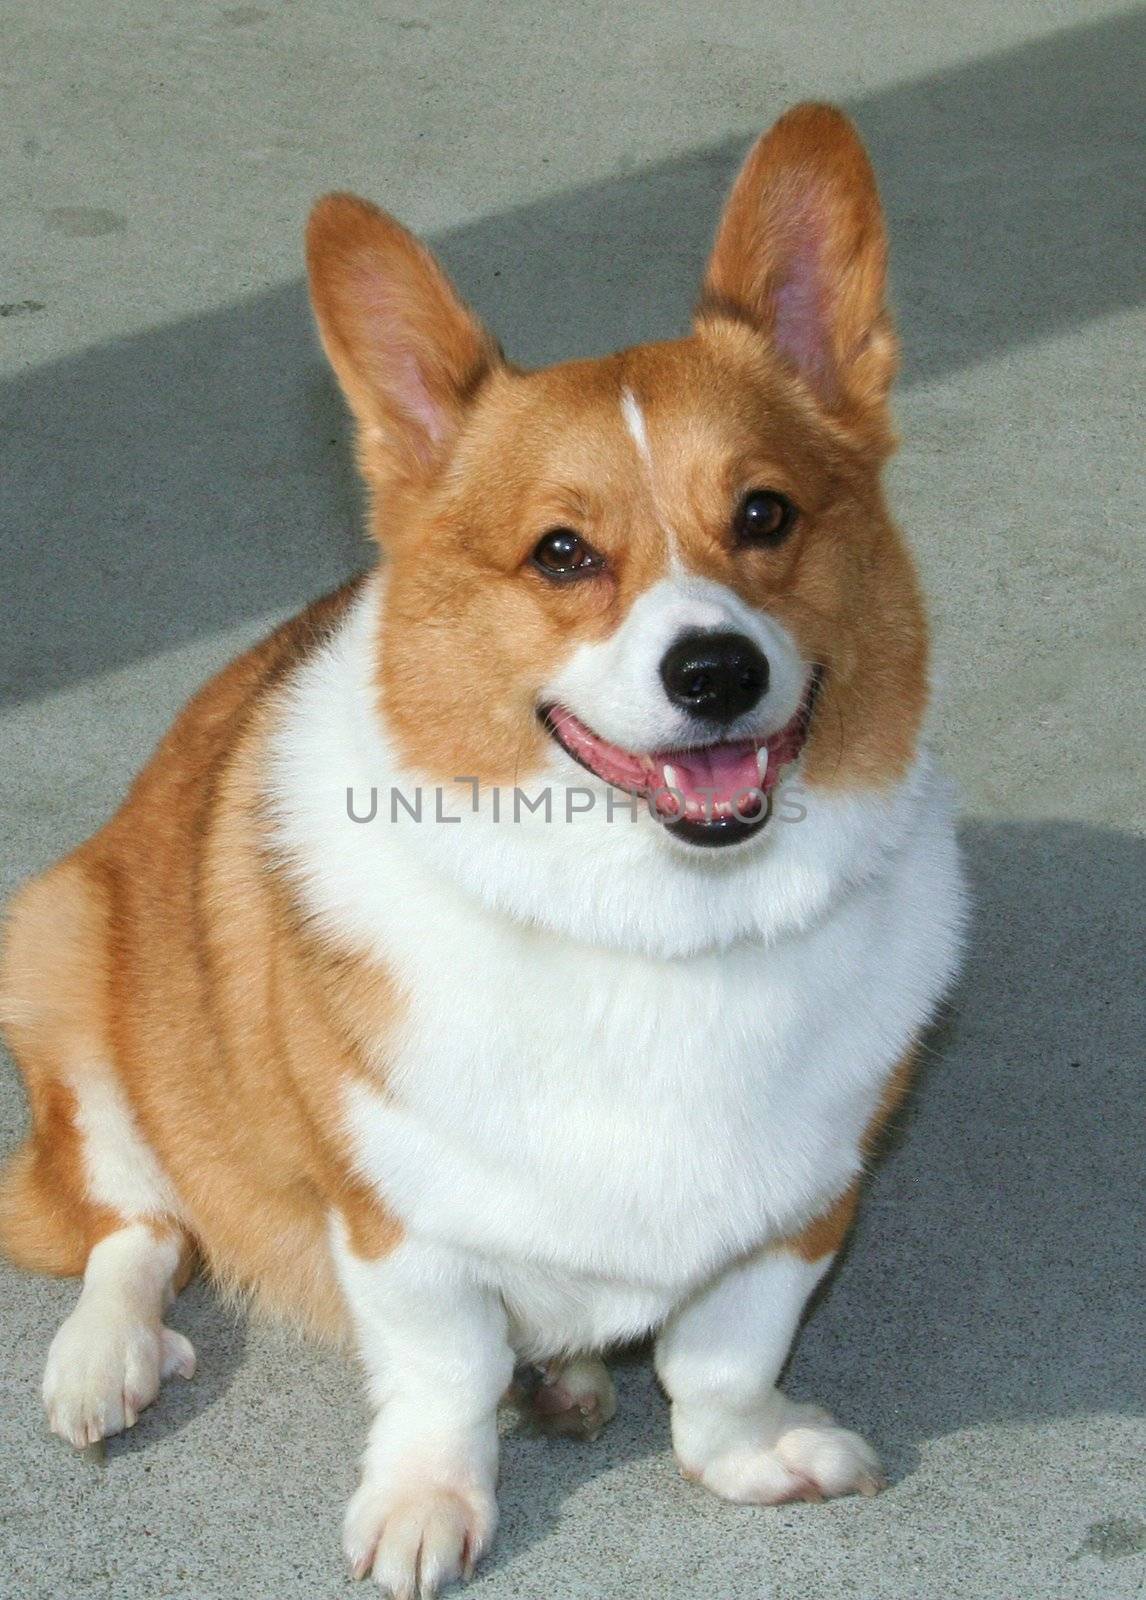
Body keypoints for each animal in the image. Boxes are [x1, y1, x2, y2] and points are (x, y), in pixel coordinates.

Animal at [0, 106, 966, 1593]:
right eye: (561, 553)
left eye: (765, 515)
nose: (716, 671)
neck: (654, 924)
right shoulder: (401, 1225)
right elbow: (443, 1372)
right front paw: (425, 1503)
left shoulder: (802, 1206)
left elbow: (722, 1358)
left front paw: (747, 1452)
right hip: (62, 969)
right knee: (134, 1224)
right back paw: (105, 1361)